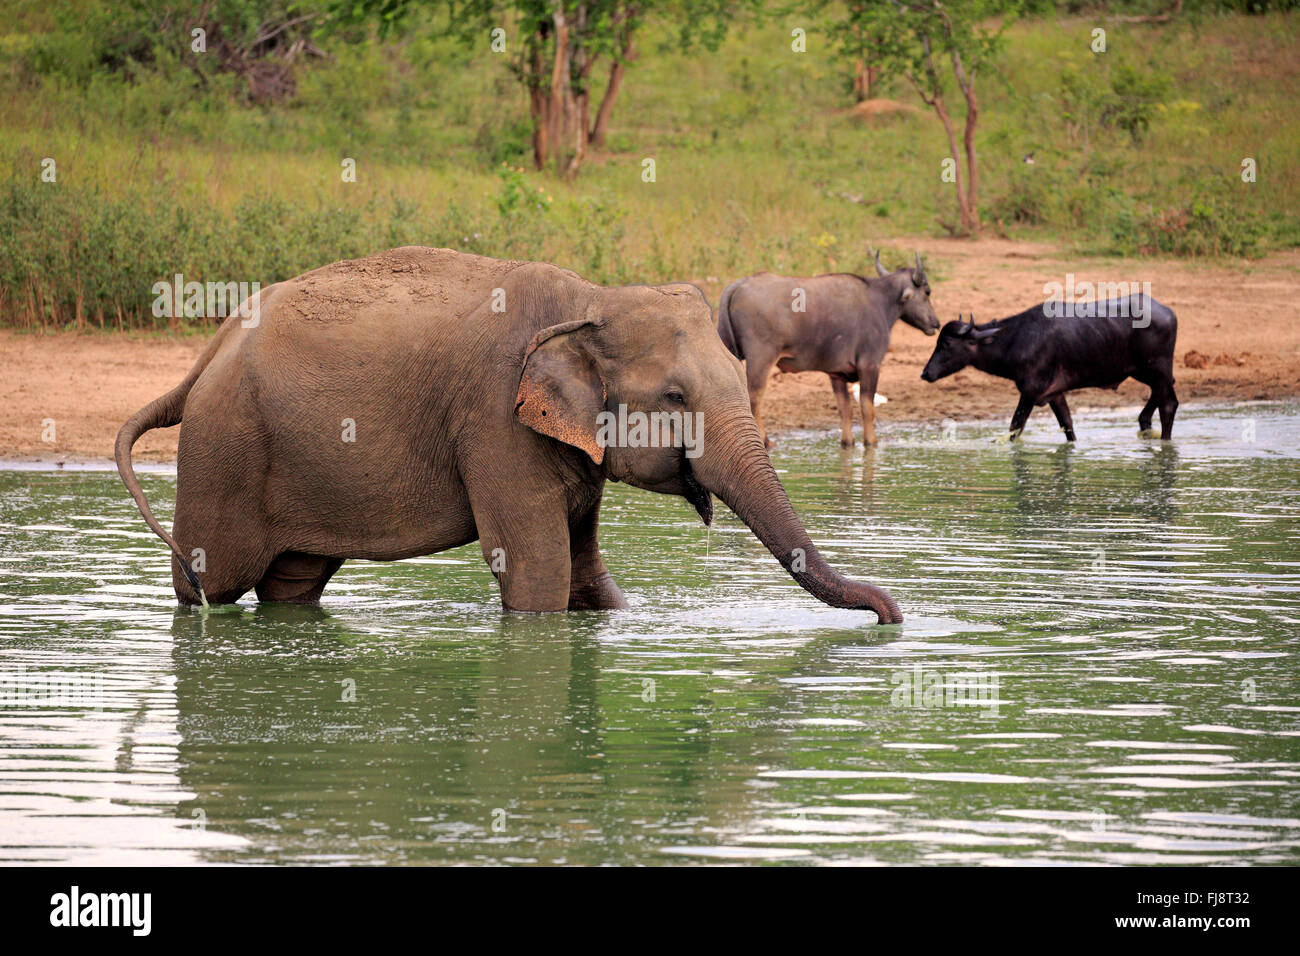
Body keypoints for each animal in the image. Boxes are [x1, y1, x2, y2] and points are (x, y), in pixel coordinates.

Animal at [116, 244, 899, 621]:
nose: (893, 615)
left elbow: (584, 570)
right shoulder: (493, 421)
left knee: (293, 581)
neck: (589, 298)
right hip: (225, 448)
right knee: (212, 577)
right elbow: (537, 570)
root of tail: (209, 350)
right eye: (675, 396)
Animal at [717, 252, 941, 450]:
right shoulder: (870, 366)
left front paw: (848, 442)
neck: (879, 301)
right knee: (753, 397)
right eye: (927, 292)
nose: (936, 323)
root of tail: (741, 284)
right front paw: (871, 441)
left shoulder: (837, 374)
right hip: (761, 360)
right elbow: (867, 408)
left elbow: (845, 410)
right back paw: (765, 440)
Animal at [920, 295, 1185, 442]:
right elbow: (1068, 425)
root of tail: (1169, 313)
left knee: (1168, 405)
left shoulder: (1030, 392)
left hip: (1157, 369)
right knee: (1161, 399)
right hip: (1146, 372)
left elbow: (1015, 428)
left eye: (947, 343)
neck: (1017, 339)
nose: (926, 373)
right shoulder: (1055, 394)